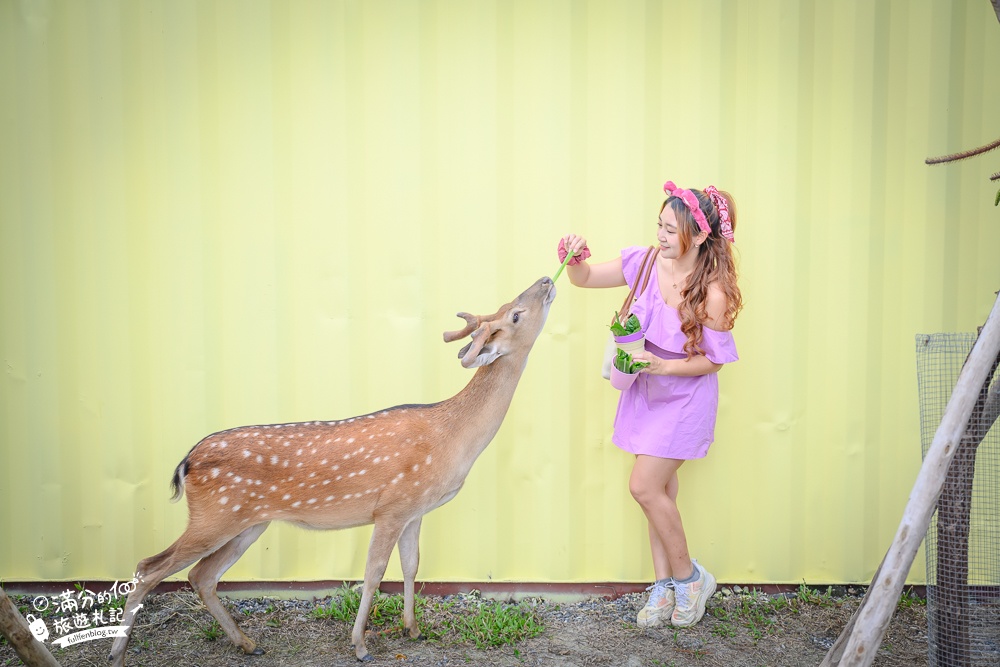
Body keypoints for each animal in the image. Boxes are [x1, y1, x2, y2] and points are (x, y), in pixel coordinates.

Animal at [113, 276, 560, 664]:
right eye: (516, 314)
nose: (545, 281)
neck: (451, 437)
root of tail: (187, 462)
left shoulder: (415, 511)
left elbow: (412, 565)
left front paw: (412, 629)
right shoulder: (391, 506)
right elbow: (374, 572)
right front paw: (361, 646)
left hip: (248, 523)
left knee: (201, 575)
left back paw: (248, 643)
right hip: (214, 515)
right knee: (148, 567)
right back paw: (118, 652)